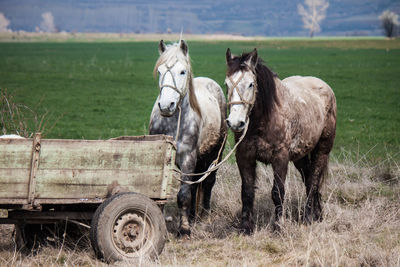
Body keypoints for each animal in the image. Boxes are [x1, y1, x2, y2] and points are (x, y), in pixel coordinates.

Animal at [227, 49, 336, 236]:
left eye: (250, 84)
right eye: (227, 84)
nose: (235, 122)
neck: (265, 119)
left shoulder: (280, 158)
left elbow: (277, 193)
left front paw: (278, 227)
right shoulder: (244, 157)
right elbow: (247, 192)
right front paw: (245, 228)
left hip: (322, 150)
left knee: (314, 180)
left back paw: (308, 217)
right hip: (300, 156)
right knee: (309, 180)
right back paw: (317, 214)